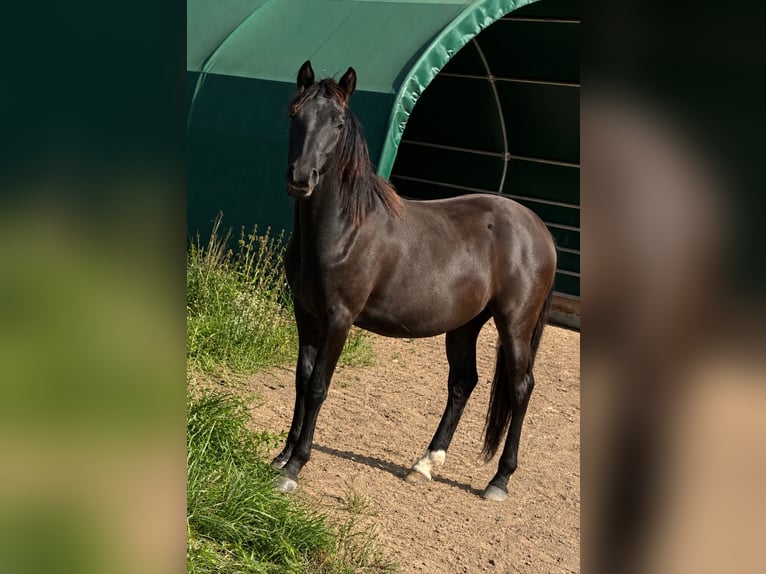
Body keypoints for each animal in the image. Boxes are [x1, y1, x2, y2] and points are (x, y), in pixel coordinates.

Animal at [271, 60, 557, 502]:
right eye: (295, 114)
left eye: (338, 123)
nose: (302, 177)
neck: (345, 229)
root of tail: (539, 229)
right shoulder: (306, 314)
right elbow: (301, 381)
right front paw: (281, 457)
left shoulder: (339, 317)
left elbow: (318, 385)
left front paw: (295, 467)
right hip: (464, 325)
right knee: (463, 383)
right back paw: (425, 464)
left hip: (515, 324)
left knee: (521, 386)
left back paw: (499, 481)